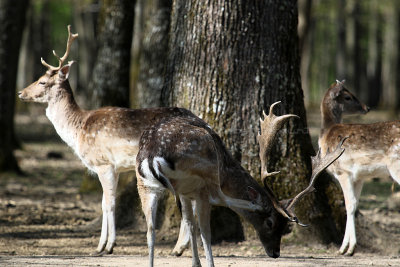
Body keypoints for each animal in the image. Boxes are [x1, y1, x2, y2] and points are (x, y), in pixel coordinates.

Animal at [137, 101, 344, 266]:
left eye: (284, 226)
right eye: (270, 222)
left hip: (145, 186)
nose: (276, 253)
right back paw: (255, 205)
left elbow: (189, 222)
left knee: (150, 230)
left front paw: (195, 263)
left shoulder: (185, 192)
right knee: (213, 213)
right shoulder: (195, 189)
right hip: (207, 171)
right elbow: (199, 225)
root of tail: (152, 156)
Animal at [318, 80, 400, 256]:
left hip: (396, 165)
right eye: (348, 96)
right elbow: (354, 205)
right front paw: (348, 248)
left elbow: (348, 205)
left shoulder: (342, 171)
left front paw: (346, 249)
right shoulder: (359, 177)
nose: (367, 107)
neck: (326, 134)